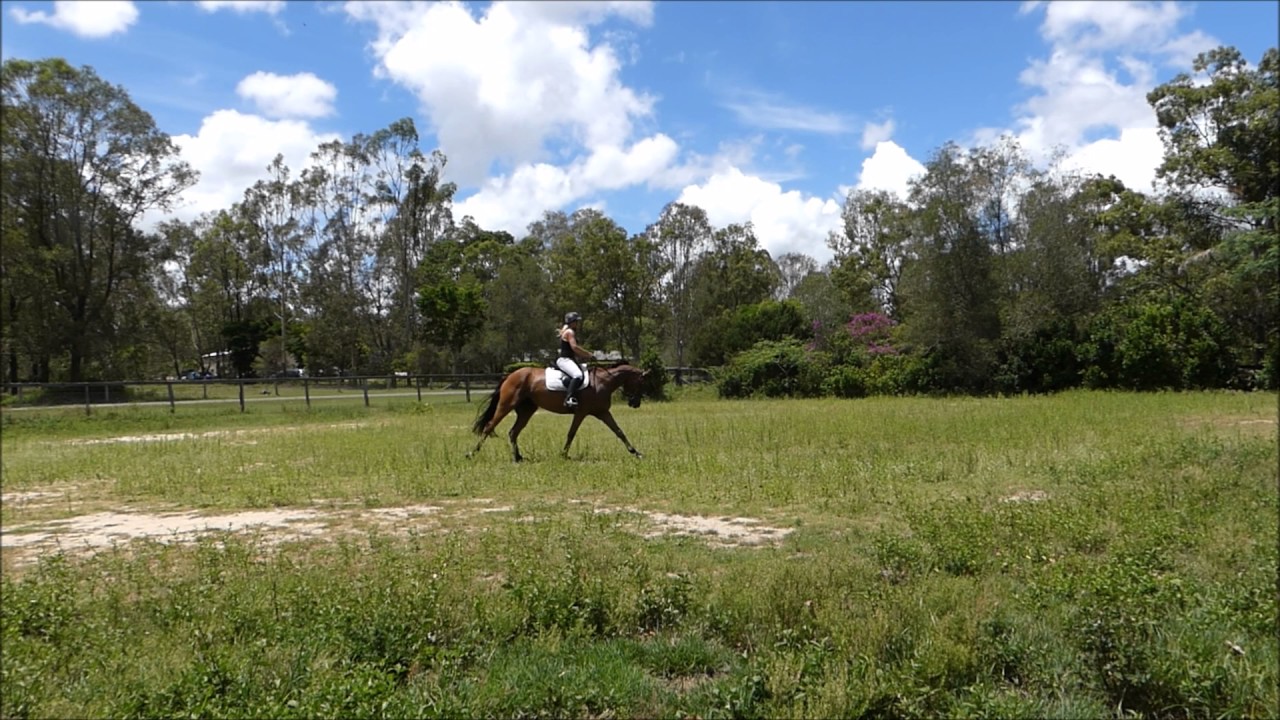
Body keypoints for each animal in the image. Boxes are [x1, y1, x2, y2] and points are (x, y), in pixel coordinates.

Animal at [469, 363, 648, 462]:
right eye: (640, 383)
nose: (635, 403)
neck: (603, 382)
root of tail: (510, 375)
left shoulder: (603, 413)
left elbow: (619, 432)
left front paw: (636, 453)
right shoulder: (581, 413)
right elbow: (571, 434)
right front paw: (563, 455)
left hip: (526, 411)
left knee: (513, 432)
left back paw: (518, 457)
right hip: (505, 406)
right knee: (489, 427)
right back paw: (471, 453)